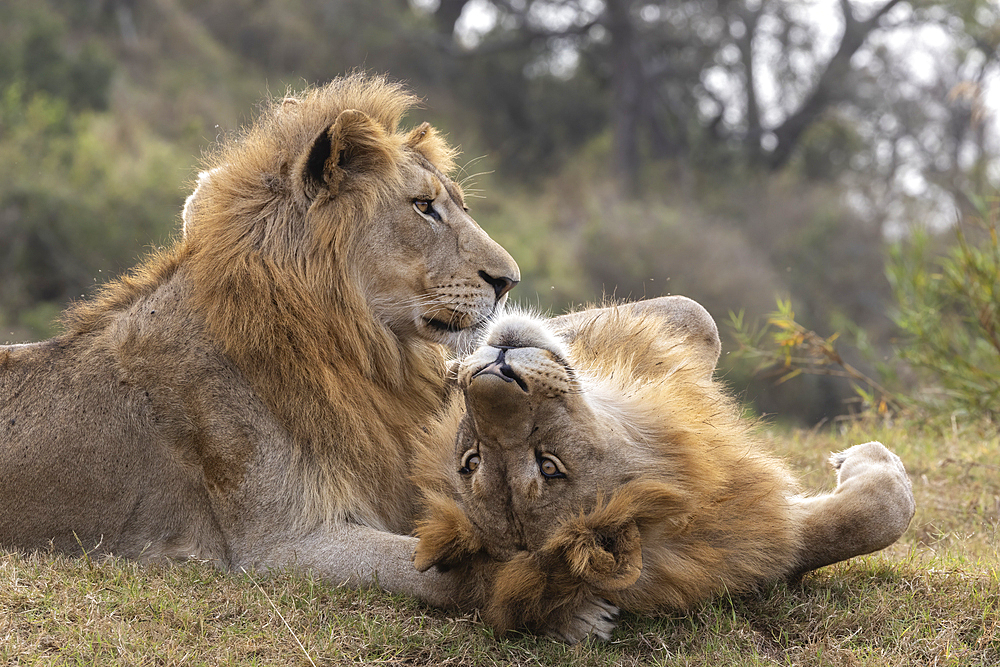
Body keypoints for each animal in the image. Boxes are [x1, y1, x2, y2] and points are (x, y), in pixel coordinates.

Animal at [410, 298, 916, 640]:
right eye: (550, 464)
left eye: (470, 460)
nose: (496, 371)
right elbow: (887, 510)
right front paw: (869, 458)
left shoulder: (758, 529)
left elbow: (849, 527)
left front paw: (457, 364)